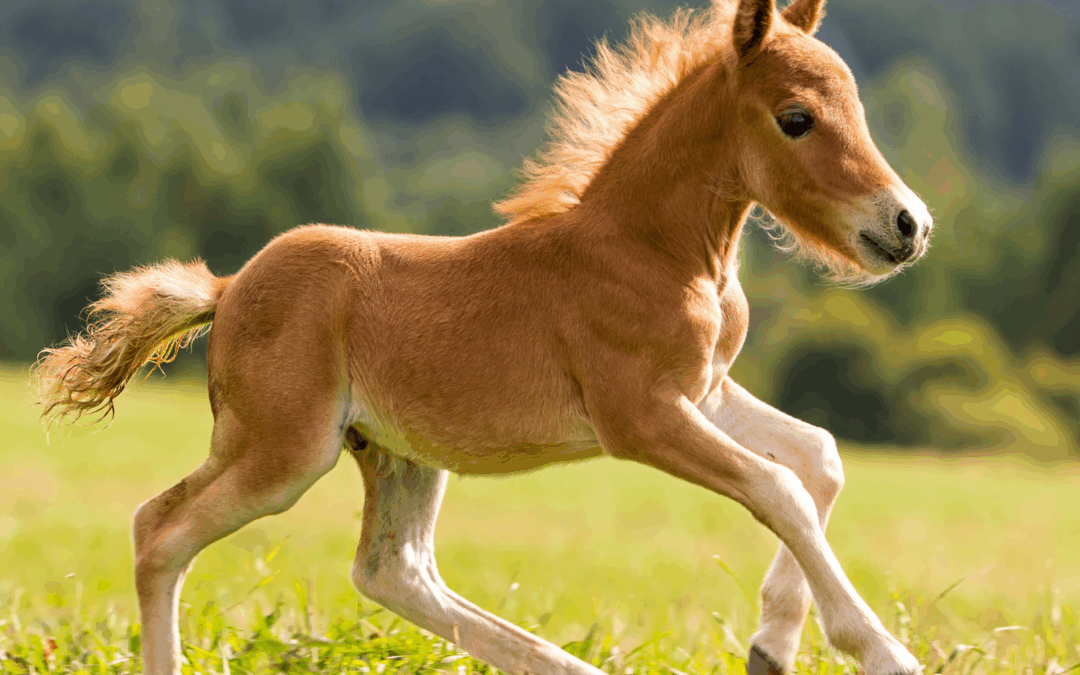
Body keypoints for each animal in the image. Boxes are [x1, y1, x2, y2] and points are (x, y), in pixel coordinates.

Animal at [35, 0, 933, 672]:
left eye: (856, 109)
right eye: (796, 117)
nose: (908, 224)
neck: (654, 248)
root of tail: (226, 291)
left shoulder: (703, 389)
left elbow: (818, 455)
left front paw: (771, 645)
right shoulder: (640, 415)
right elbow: (778, 488)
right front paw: (882, 650)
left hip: (393, 451)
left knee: (390, 570)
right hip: (282, 450)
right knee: (162, 531)